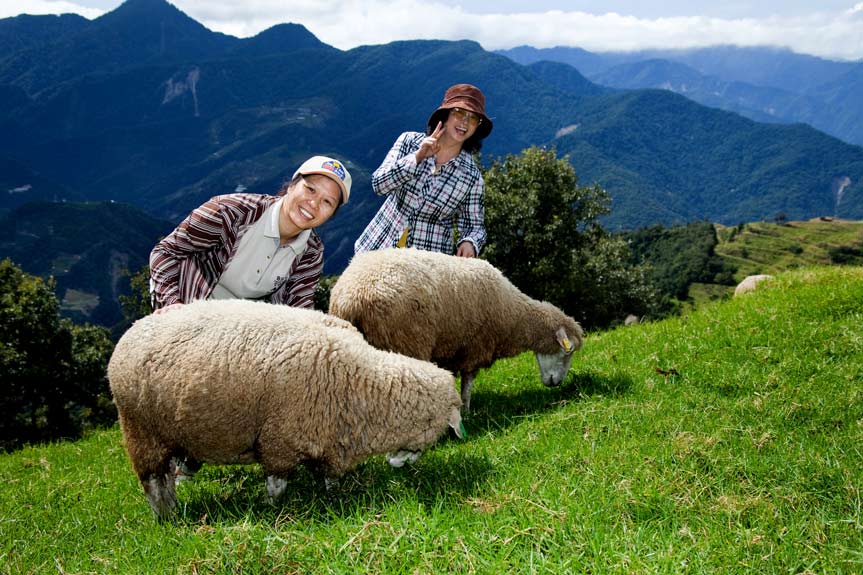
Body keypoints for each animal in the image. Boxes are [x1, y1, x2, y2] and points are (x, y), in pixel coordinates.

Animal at [107, 299, 463, 519]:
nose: (397, 465)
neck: (363, 383)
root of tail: (131, 332)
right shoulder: (279, 440)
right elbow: (276, 486)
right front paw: (269, 509)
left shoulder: (328, 441)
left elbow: (329, 480)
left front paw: (332, 498)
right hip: (141, 430)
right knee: (153, 481)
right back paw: (166, 516)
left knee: (165, 477)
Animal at [328, 248, 584, 412]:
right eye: (567, 352)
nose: (556, 384)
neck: (513, 315)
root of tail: (349, 298)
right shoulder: (475, 347)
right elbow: (468, 383)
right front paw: (467, 410)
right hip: (404, 341)